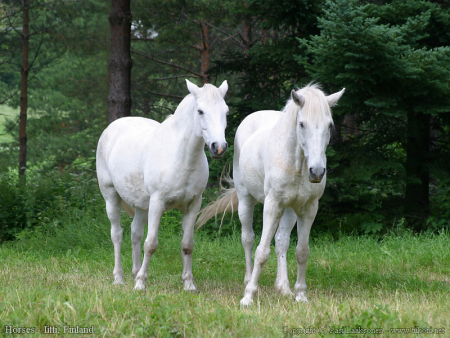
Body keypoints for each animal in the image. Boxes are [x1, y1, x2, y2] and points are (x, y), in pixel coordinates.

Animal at [97, 80, 229, 292]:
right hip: (111, 196)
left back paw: (134, 272)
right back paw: (119, 278)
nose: (219, 147)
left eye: (226, 111)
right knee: (117, 235)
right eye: (200, 111)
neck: (181, 157)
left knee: (135, 233)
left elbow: (187, 245)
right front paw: (141, 284)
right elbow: (151, 244)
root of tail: (112, 127)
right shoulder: (157, 203)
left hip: (141, 205)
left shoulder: (193, 205)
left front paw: (189, 284)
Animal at [197, 83, 344, 304]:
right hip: (246, 201)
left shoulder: (309, 208)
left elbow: (301, 251)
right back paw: (248, 279)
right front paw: (248, 296)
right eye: (302, 124)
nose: (317, 172)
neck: (296, 164)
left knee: (282, 242)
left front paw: (301, 295)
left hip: (289, 210)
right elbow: (261, 251)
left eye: (330, 125)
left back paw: (283, 288)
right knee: (248, 239)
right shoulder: (272, 206)